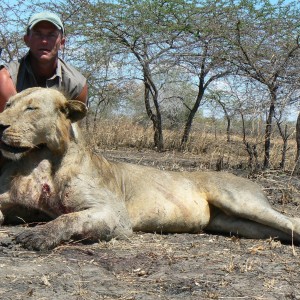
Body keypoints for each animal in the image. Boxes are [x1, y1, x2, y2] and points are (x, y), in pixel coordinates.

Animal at [0, 87, 298, 251]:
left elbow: (68, 218)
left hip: (239, 200)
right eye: (8, 104)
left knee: (290, 221)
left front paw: (38, 235)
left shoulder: (116, 215)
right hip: (234, 223)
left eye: (31, 108)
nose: (0, 123)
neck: (41, 158)